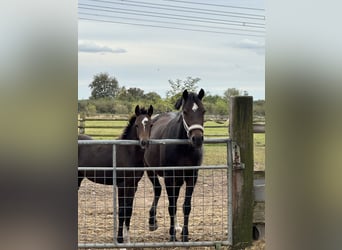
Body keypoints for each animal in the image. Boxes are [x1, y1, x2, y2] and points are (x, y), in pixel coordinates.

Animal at [78, 104, 153, 243]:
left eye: (151, 124)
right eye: (137, 125)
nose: (144, 143)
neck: (128, 153)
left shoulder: (133, 185)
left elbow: (129, 211)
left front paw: (127, 238)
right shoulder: (122, 185)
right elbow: (122, 211)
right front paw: (119, 239)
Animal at [144, 89, 206, 241]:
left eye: (203, 111)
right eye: (185, 111)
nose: (197, 139)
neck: (183, 148)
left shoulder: (191, 177)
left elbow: (186, 206)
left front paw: (185, 234)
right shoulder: (169, 177)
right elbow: (171, 206)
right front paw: (172, 235)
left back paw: (177, 227)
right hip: (150, 171)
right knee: (158, 190)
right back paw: (152, 221)